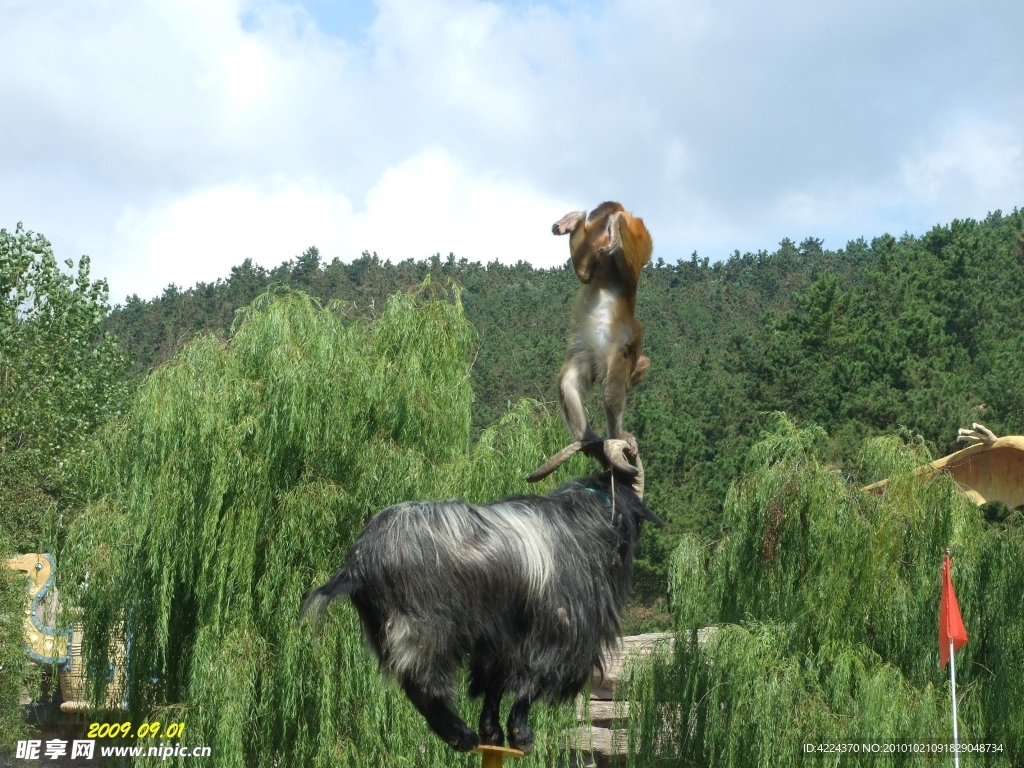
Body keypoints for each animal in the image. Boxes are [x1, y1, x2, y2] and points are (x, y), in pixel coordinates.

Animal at [299, 444, 659, 753]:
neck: (583, 526)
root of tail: (359, 562)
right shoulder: (555, 633)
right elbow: (531, 681)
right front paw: (521, 737)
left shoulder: (499, 640)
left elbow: (494, 685)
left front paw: (494, 734)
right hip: (424, 624)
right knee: (422, 683)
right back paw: (461, 736)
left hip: (382, 624)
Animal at [557, 201, 651, 460]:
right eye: (633, 381)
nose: (631, 385)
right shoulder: (624, 352)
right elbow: (612, 395)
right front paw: (621, 435)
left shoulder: (587, 357)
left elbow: (569, 383)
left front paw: (586, 436)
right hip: (640, 234)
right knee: (632, 270)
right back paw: (617, 231)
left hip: (596, 250)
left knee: (584, 273)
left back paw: (576, 220)